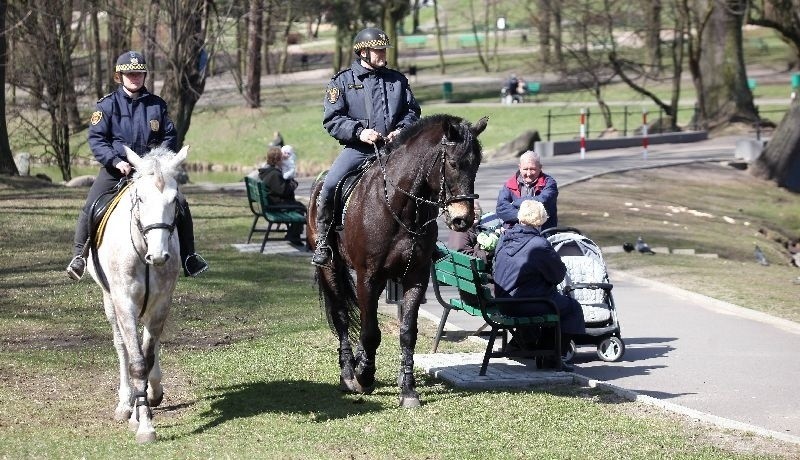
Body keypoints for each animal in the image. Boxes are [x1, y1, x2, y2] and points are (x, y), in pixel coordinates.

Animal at [87, 145, 188, 442]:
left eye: (174, 199)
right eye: (140, 198)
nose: (159, 256)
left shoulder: (162, 302)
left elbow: (148, 353)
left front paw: (149, 401)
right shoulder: (124, 302)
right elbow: (136, 361)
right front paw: (142, 422)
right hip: (109, 300)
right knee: (122, 347)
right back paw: (125, 404)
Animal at [308, 114, 488, 406]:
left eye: (477, 165)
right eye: (452, 163)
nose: (463, 219)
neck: (399, 206)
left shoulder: (415, 276)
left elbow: (407, 333)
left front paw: (408, 389)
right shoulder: (367, 277)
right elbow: (370, 332)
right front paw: (364, 375)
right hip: (331, 268)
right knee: (342, 316)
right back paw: (348, 373)